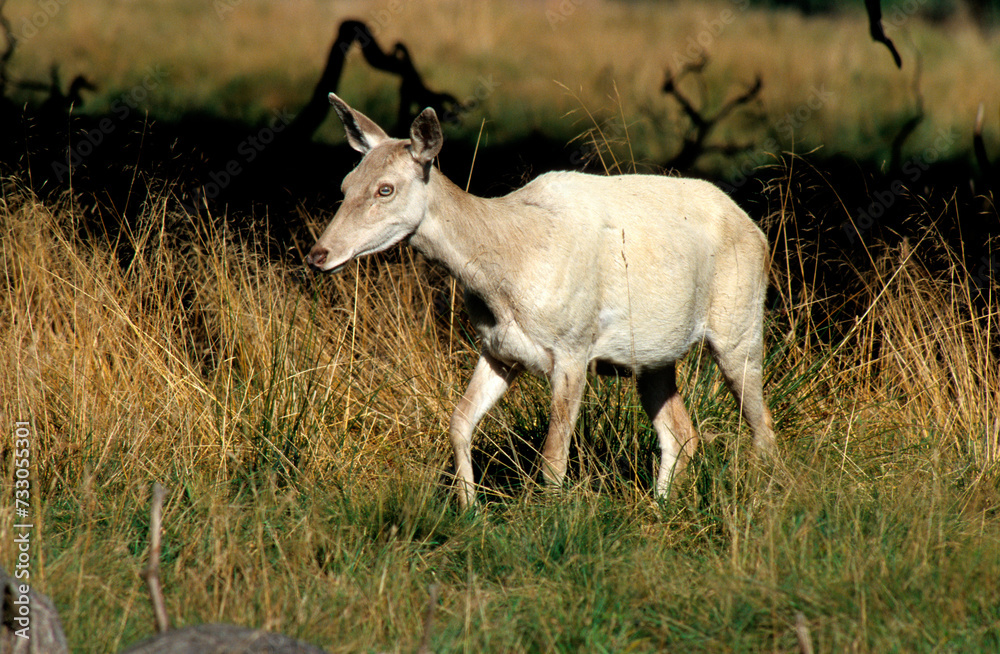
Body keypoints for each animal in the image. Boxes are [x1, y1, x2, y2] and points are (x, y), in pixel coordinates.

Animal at [308, 93, 775, 509]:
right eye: (345, 184)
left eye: (385, 189)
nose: (318, 254)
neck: (505, 277)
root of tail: (757, 229)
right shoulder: (498, 349)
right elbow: (459, 422)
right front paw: (469, 510)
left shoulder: (573, 346)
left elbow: (552, 459)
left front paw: (551, 521)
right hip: (653, 357)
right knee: (681, 433)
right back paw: (660, 509)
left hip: (739, 326)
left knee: (762, 429)